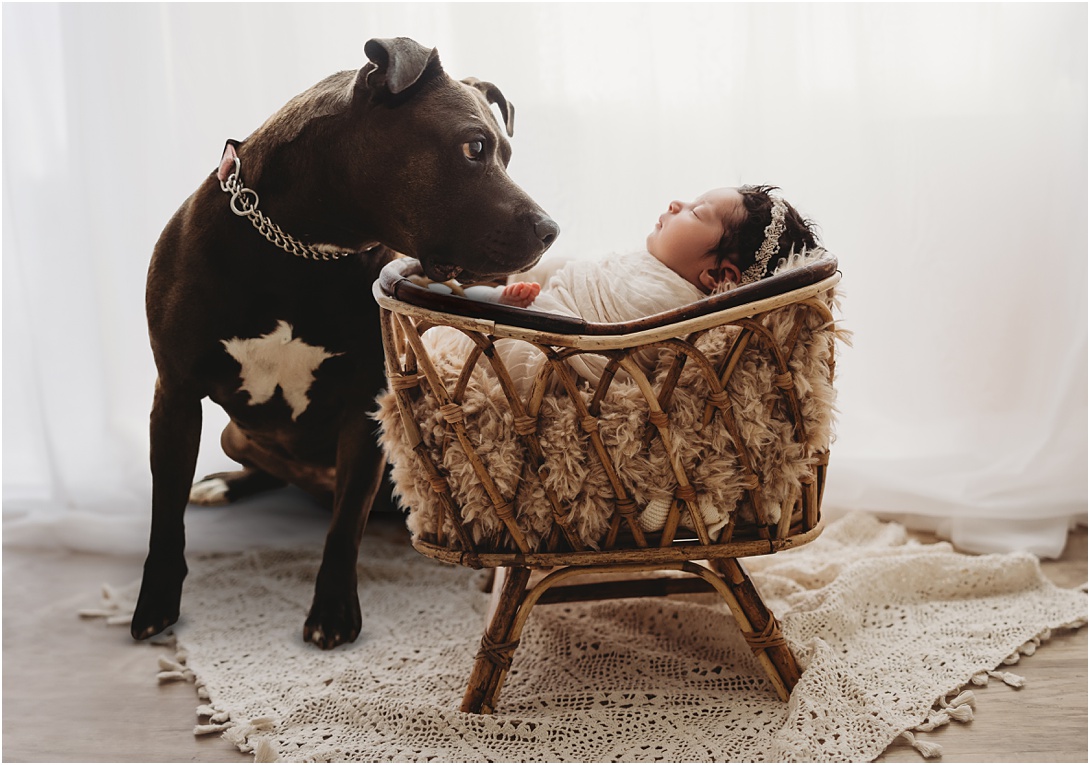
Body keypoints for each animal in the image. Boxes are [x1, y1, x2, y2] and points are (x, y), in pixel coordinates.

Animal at [135, 35, 558, 645]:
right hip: (230, 434)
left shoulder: (365, 407)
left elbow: (344, 528)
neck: (302, 251)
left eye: (505, 153)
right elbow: (165, 515)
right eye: (475, 147)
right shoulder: (175, 396)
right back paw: (222, 484)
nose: (551, 230)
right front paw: (155, 605)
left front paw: (332, 613)